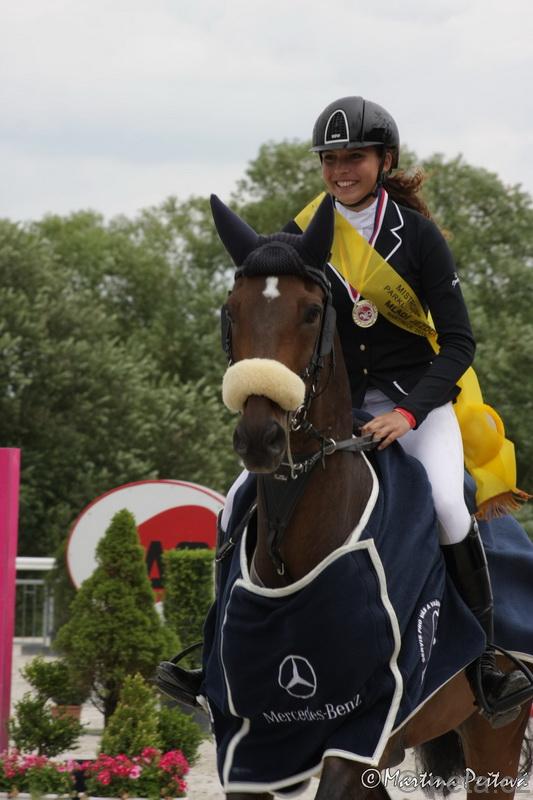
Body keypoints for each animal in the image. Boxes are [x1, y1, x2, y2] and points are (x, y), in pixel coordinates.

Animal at [181, 194, 533, 800]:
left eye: (310, 312)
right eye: (232, 311)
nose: (260, 438)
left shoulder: (361, 730)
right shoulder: (251, 742)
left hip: (495, 733)